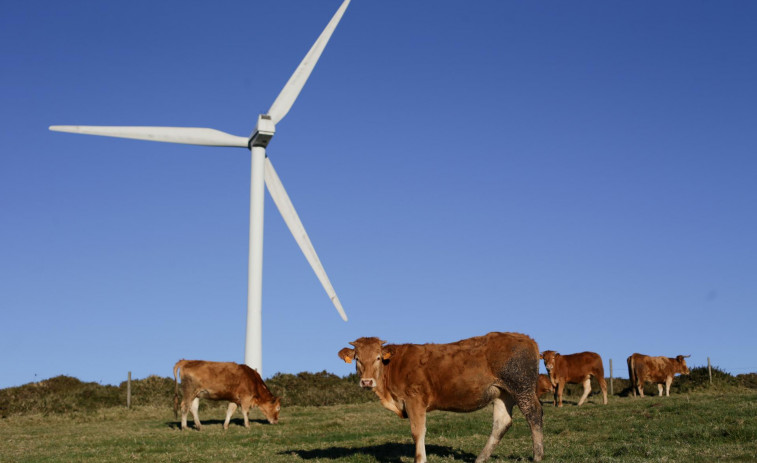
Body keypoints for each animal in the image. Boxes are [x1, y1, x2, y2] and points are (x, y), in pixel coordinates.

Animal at [338, 332, 544, 462]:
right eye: (357, 359)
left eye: (378, 358)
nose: (367, 382)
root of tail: (526, 338)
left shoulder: (415, 400)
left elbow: (418, 432)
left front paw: (420, 459)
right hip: (503, 393)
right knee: (502, 422)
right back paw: (480, 458)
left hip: (521, 387)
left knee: (534, 415)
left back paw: (538, 456)